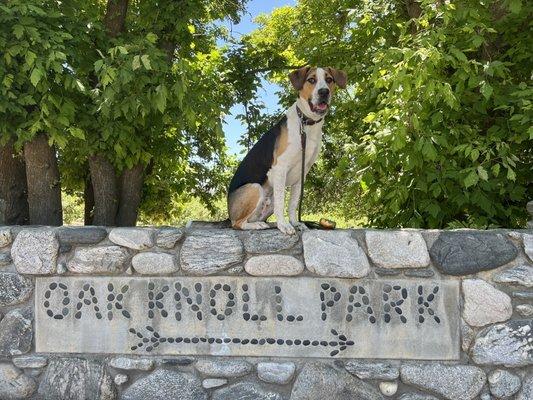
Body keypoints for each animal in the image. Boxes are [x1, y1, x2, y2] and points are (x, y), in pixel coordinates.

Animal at [227, 65, 348, 234]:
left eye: (329, 79)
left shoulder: (302, 173)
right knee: (238, 223)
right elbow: (281, 202)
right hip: (255, 188)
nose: (324, 92)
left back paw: (264, 223)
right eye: (311, 80)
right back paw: (257, 225)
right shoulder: (280, 168)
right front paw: (284, 225)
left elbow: (293, 204)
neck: (306, 123)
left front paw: (295, 223)